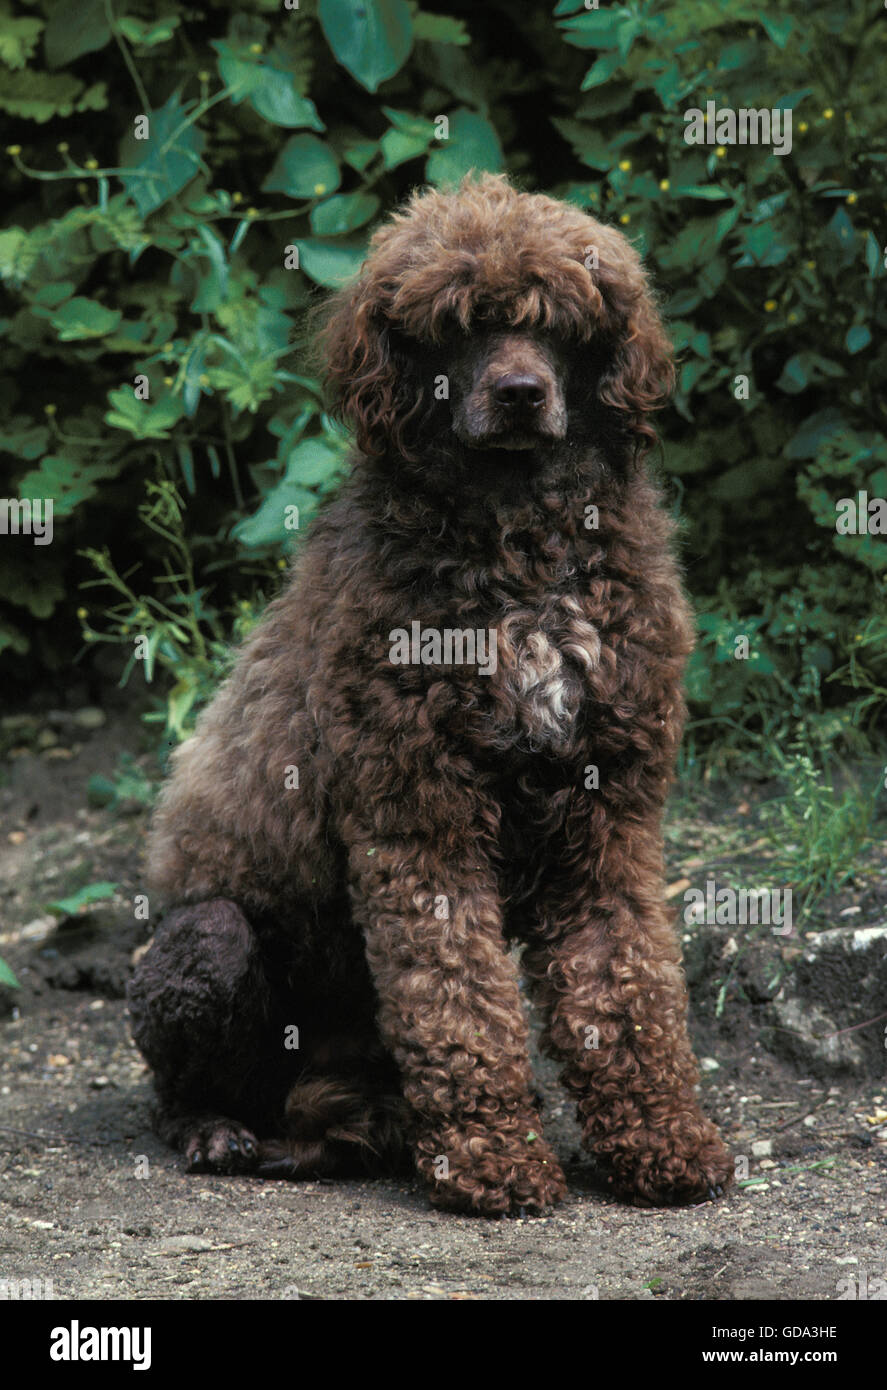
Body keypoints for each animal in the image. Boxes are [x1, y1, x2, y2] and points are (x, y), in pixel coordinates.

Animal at [126, 176, 734, 1217]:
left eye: (562, 323)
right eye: (459, 325)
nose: (521, 395)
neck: (519, 543)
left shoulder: (607, 817)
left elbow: (626, 988)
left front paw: (661, 1140)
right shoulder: (422, 821)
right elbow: (457, 1001)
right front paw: (494, 1161)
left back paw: (346, 1139)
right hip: (206, 938)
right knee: (178, 1087)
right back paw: (221, 1132)